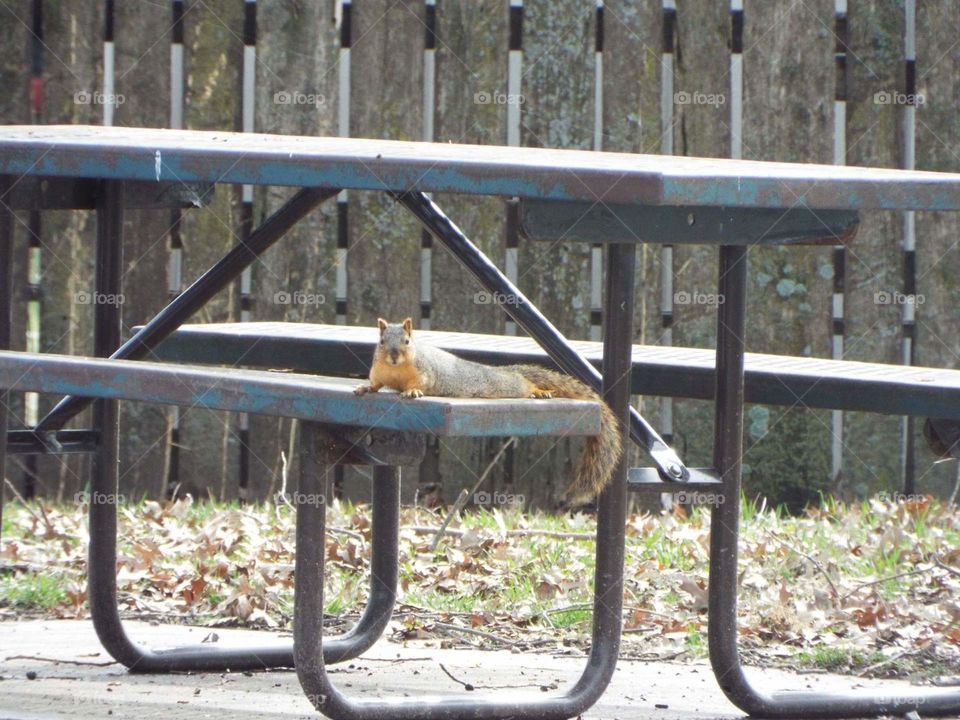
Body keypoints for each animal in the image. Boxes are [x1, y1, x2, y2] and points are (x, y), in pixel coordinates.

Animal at [354, 318, 623, 502]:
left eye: (407, 341)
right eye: (381, 342)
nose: (394, 355)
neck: (396, 370)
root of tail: (501, 372)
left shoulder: (424, 373)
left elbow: (417, 385)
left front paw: (411, 392)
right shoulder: (379, 372)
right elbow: (375, 383)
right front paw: (365, 387)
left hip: (510, 386)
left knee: (524, 384)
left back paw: (538, 391)